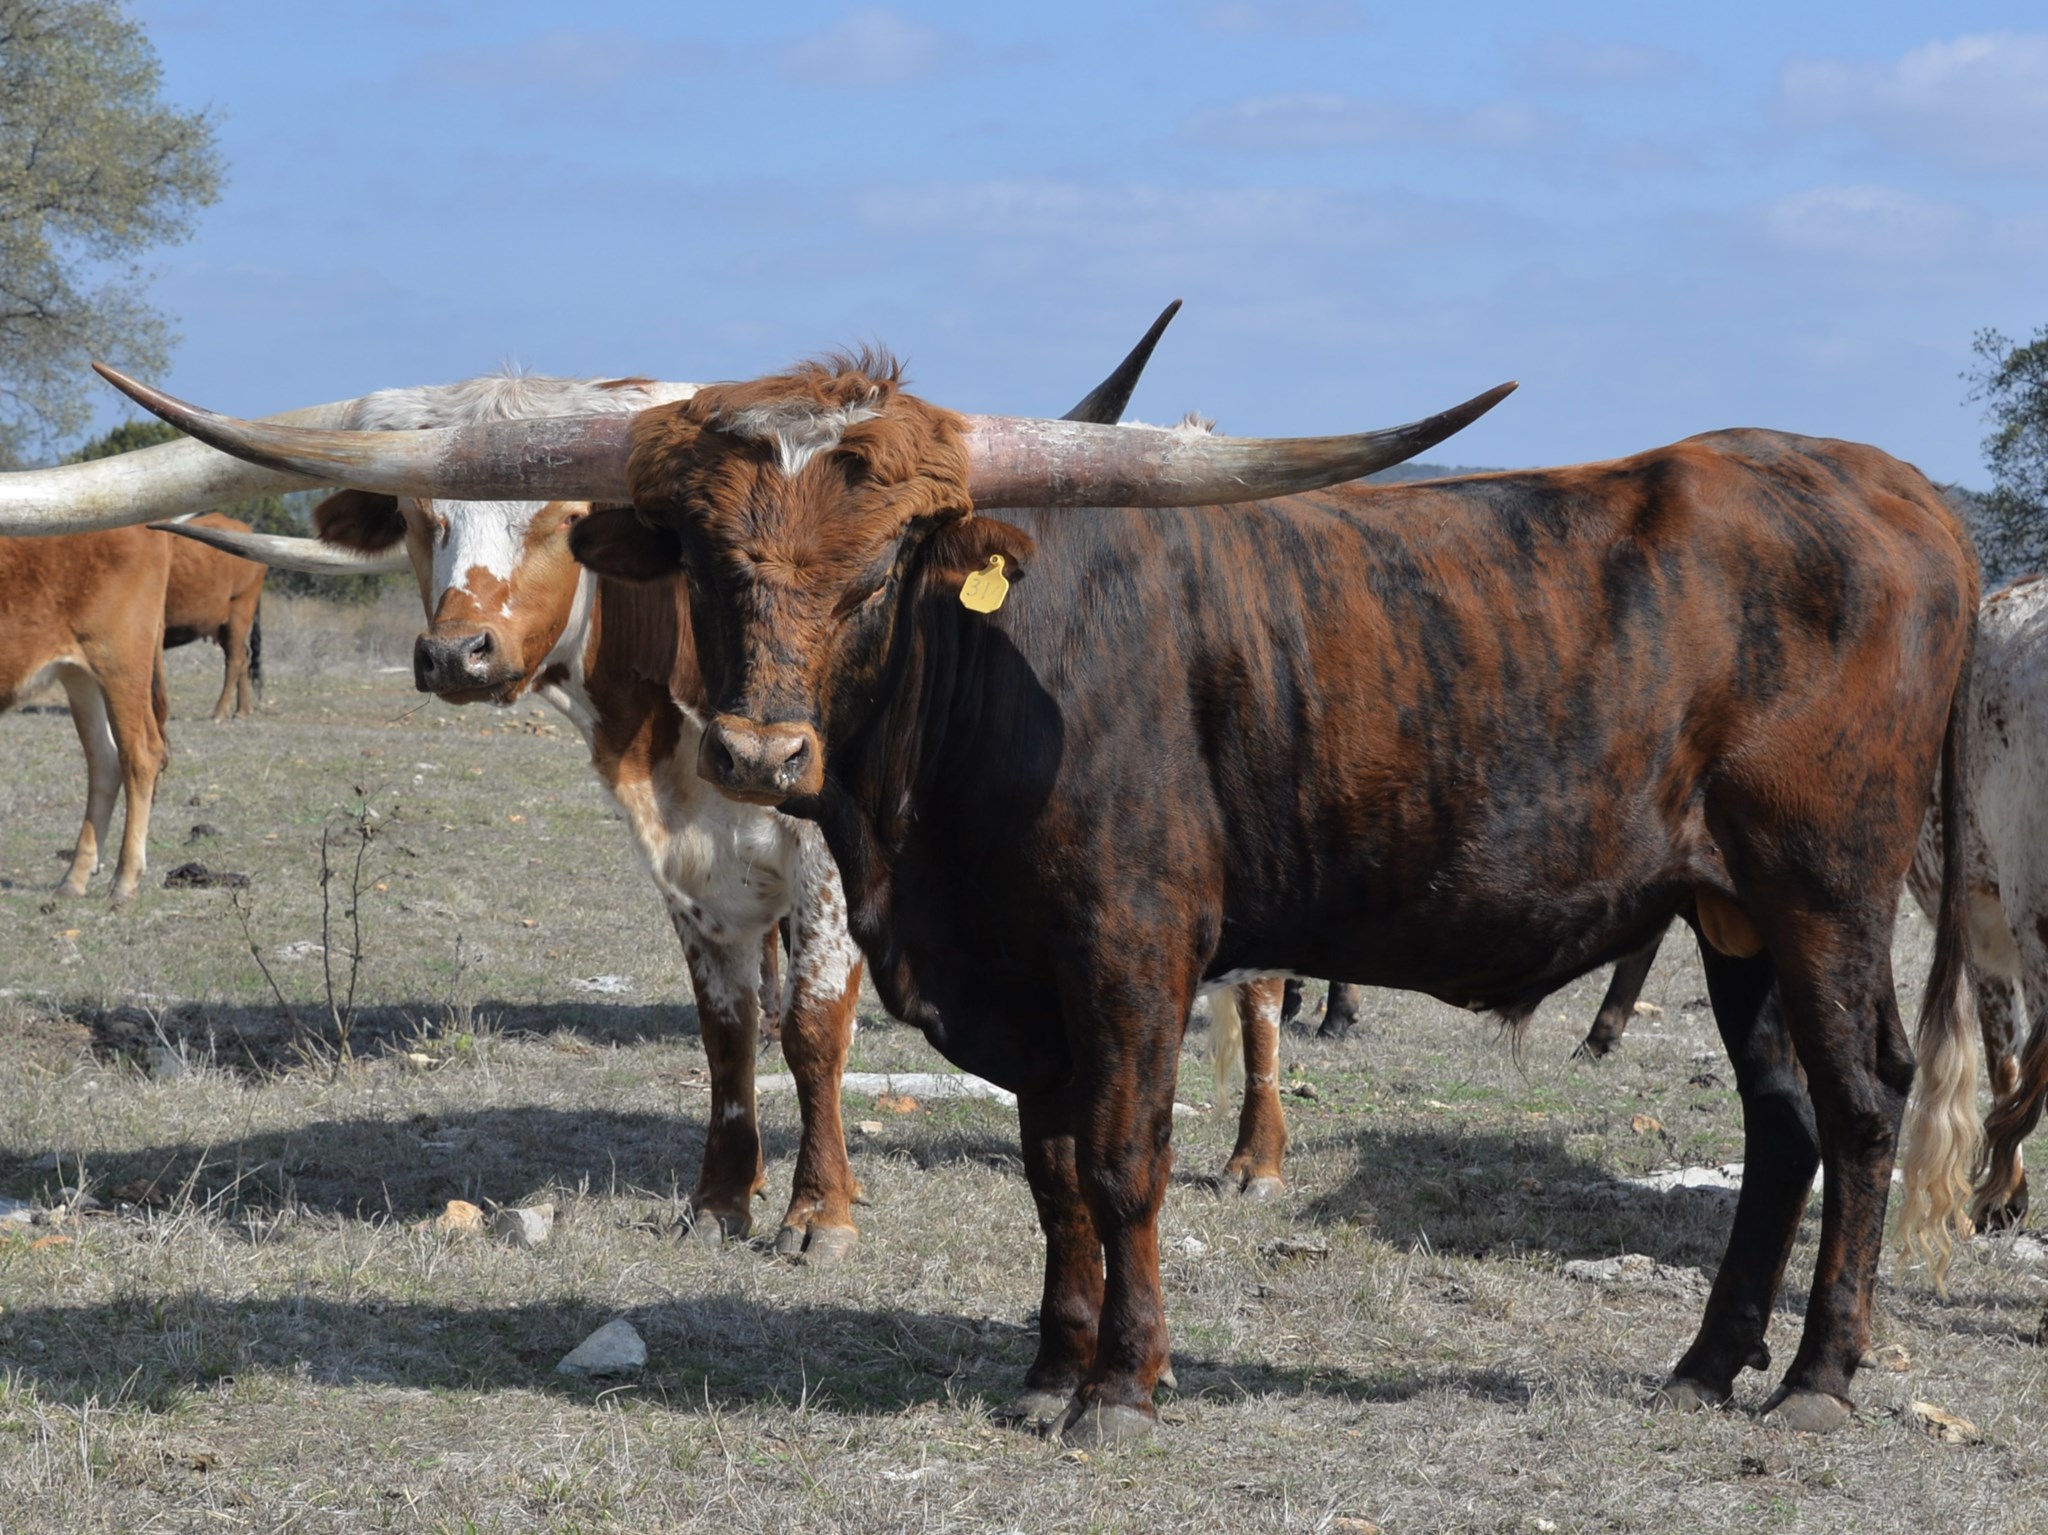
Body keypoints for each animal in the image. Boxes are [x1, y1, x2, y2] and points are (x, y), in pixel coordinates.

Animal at [0, 527, 171, 901]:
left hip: (120, 663)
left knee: (140, 755)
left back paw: (124, 878)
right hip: (80, 675)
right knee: (104, 759)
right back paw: (75, 877)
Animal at [162, 512, 267, 721]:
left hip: (239, 615)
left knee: (235, 660)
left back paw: (220, 711)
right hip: (221, 626)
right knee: (243, 656)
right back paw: (242, 710)